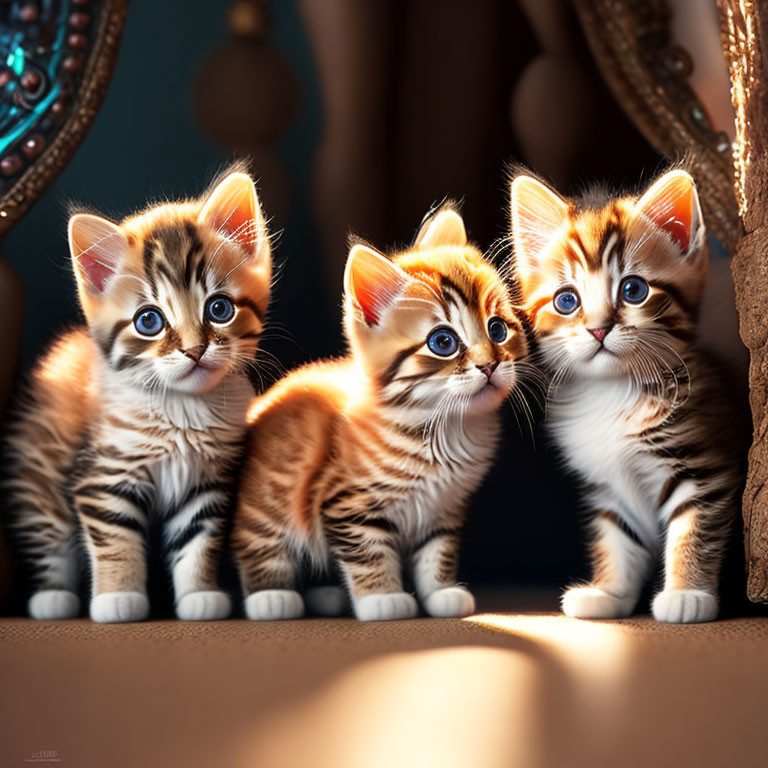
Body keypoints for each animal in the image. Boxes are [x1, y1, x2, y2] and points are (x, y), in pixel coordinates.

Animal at [2, 170, 272, 624]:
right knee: (46, 528)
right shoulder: (102, 477)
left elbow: (199, 542)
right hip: (38, 466)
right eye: (149, 321)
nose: (194, 351)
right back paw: (52, 597)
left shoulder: (205, 483)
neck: (182, 408)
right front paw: (117, 598)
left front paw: (199, 595)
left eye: (219, 309)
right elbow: (115, 542)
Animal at [231, 207, 524, 620]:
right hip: (268, 499)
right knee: (257, 539)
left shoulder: (443, 509)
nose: (490, 365)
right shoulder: (347, 504)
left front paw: (442, 592)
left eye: (497, 329)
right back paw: (271, 597)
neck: (442, 428)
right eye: (443, 342)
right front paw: (383, 599)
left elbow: (437, 554)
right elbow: (369, 554)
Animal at [510, 170, 744, 624]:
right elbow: (617, 538)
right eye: (567, 300)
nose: (599, 328)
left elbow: (693, 528)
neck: (612, 392)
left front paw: (687, 594)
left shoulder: (703, 467)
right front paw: (609, 592)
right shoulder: (610, 485)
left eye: (633, 290)